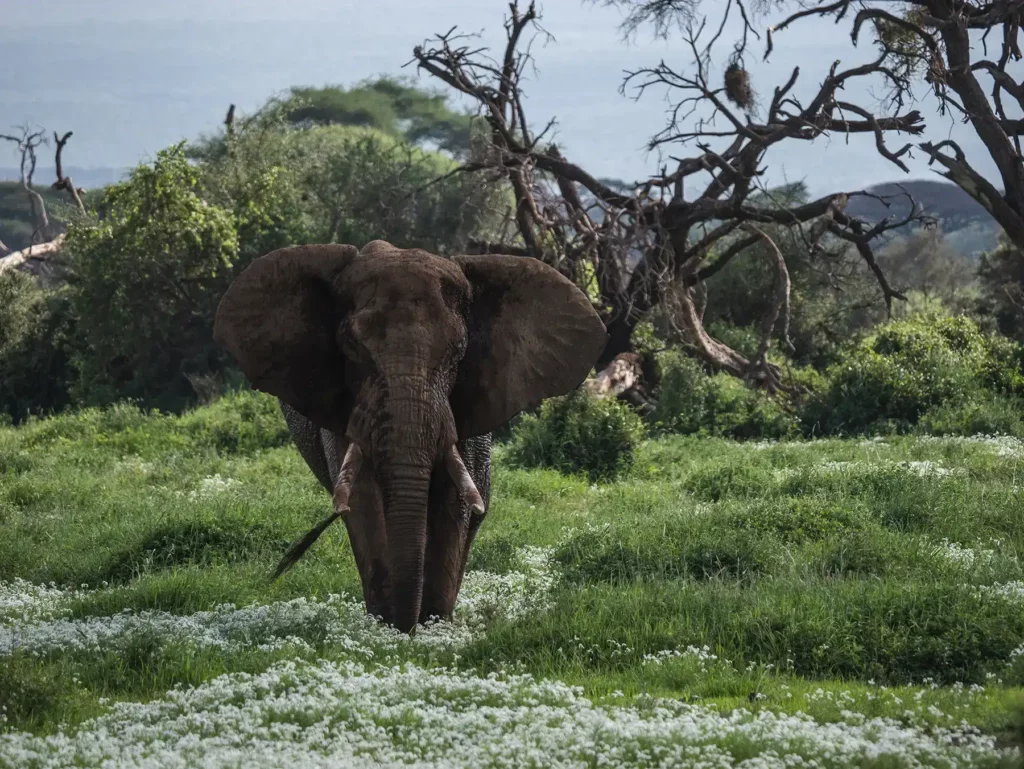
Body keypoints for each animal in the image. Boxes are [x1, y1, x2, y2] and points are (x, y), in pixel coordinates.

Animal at [213, 239, 607, 632]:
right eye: (351, 347)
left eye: (458, 352)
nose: (407, 626)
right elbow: (365, 499)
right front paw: (388, 626)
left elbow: (453, 500)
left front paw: (432, 624)